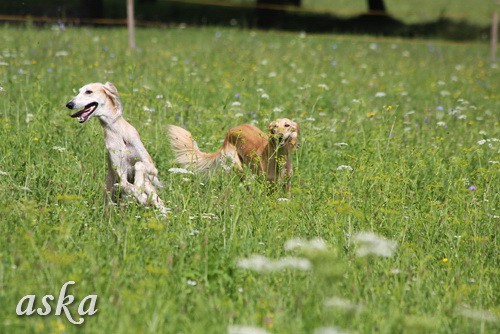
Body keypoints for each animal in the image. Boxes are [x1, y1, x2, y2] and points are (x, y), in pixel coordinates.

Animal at [65, 82, 168, 215]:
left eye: (88, 91)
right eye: (79, 91)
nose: (69, 104)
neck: (118, 132)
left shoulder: (151, 167)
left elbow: (139, 164)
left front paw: (139, 184)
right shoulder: (119, 172)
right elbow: (125, 185)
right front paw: (141, 195)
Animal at [170, 118, 298, 190]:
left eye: (287, 125)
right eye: (275, 126)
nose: (280, 135)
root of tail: (230, 131)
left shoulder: (287, 184)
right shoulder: (269, 185)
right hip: (237, 166)